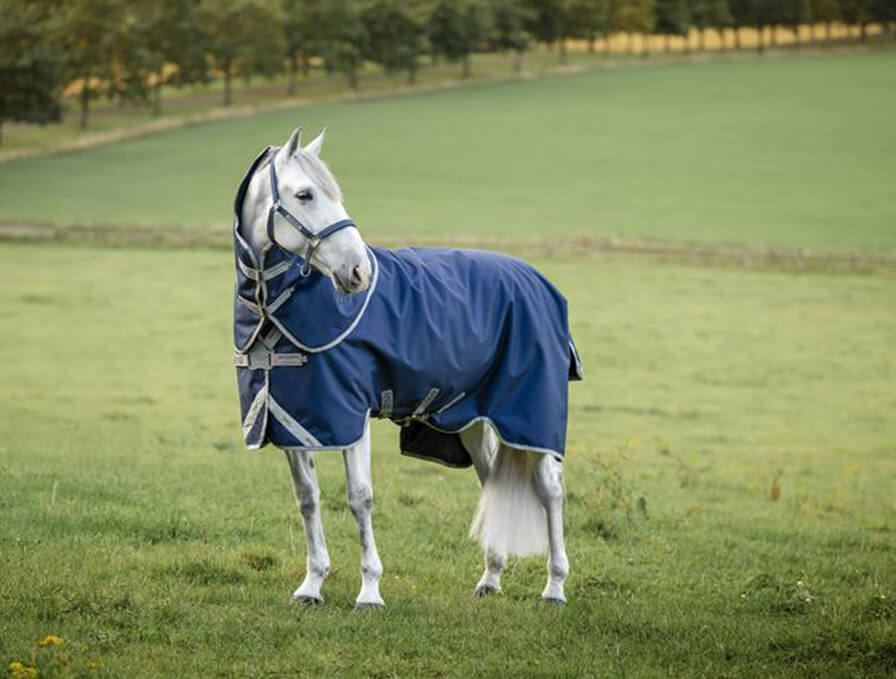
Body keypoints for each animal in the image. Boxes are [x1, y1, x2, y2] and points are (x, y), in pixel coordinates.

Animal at [232, 127, 582, 608]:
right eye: (304, 195)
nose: (357, 272)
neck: (278, 309)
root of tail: (536, 279)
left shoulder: (351, 415)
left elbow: (359, 497)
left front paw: (369, 590)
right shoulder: (293, 420)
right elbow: (307, 498)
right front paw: (312, 584)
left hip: (530, 414)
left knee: (550, 490)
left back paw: (555, 586)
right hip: (472, 419)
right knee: (491, 481)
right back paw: (491, 578)